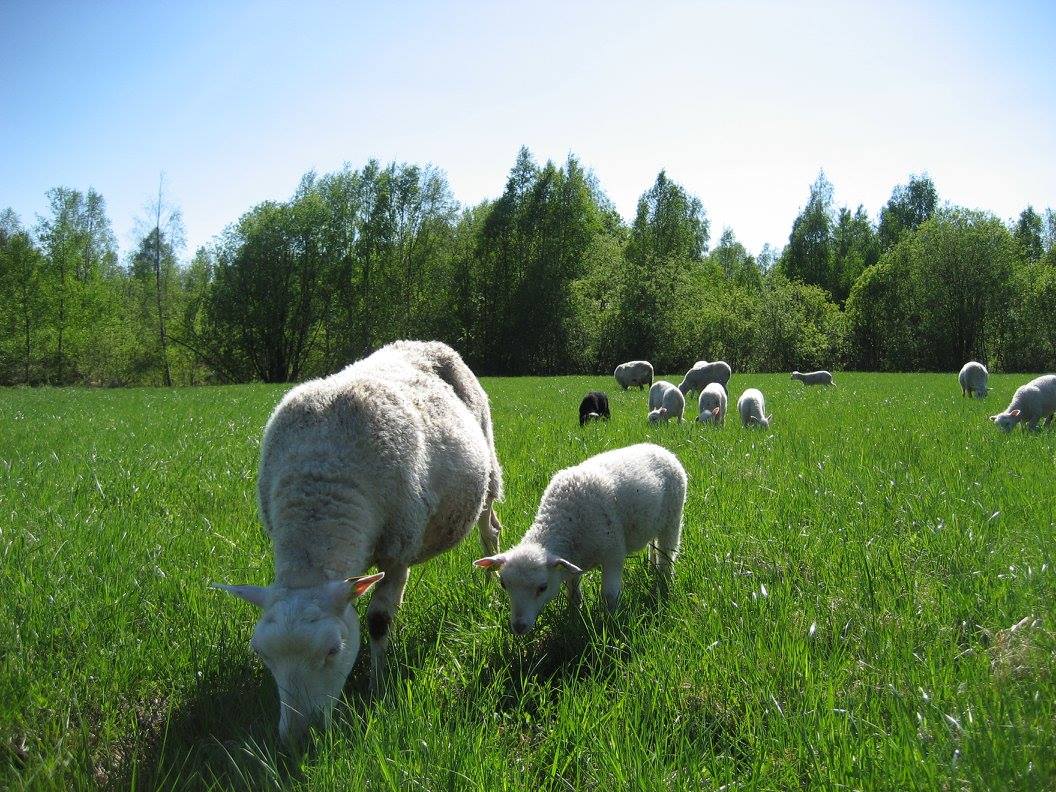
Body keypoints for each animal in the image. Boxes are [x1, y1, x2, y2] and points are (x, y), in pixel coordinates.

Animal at [214, 340, 502, 743]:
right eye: (262, 654)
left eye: (334, 650)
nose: (298, 739)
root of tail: (421, 342)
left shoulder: (398, 549)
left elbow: (379, 620)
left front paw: (377, 686)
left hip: (487, 474)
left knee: (490, 531)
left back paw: (491, 583)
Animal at [475, 443, 688, 637]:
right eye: (503, 584)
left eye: (543, 587)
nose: (519, 627)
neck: (564, 520)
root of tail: (660, 448)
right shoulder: (571, 560)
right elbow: (573, 595)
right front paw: (573, 619)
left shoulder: (613, 554)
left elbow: (609, 596)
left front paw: (609, 625)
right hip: (654, 522)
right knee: (654, 546)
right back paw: (652, 567)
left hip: (673, 516)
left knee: (667, 554)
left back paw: (663, 582)